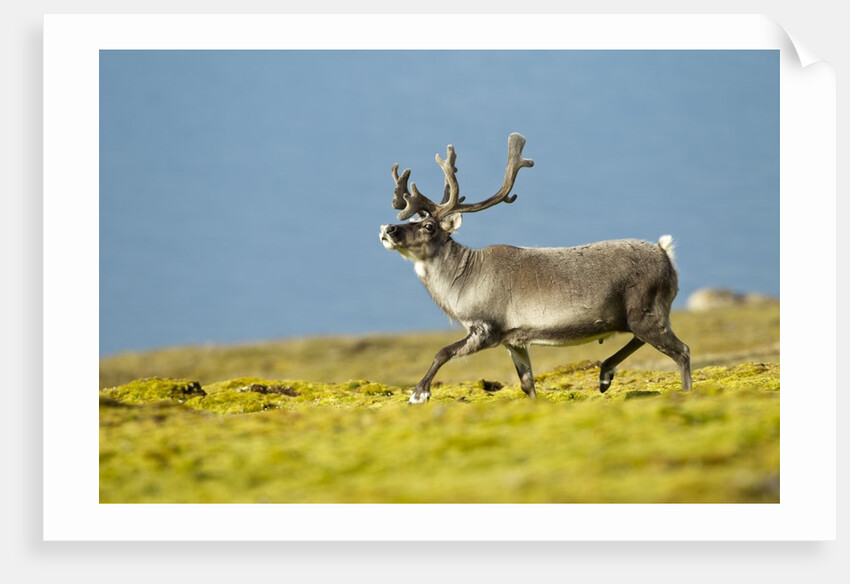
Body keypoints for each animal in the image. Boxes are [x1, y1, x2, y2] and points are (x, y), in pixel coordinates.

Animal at [379, 133, 691, 404]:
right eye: (412, 221)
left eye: (428, 226)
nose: (387, 229)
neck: (461, 280)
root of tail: (665, 252)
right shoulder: (514, 340)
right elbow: (527, 383)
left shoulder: (486, 329)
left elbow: (442, 352)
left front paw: (419, 394)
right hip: (636, 316)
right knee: (647, 342)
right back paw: (605, 374)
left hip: (644, 312)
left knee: (682, 351)